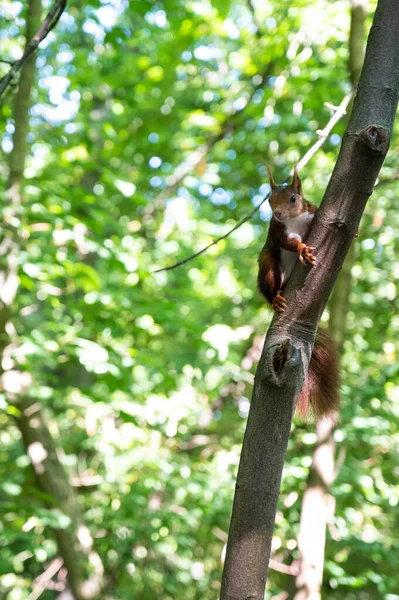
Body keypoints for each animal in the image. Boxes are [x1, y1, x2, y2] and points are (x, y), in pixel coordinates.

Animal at [258, 166, 340, 420]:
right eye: (269, 200)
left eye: (293, 198)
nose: (278, 214)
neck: (294, 219)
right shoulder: (277, 230)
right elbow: (288, 241)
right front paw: (302, 248)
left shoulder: (312, 211)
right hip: (269, 264)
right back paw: (275, 298)